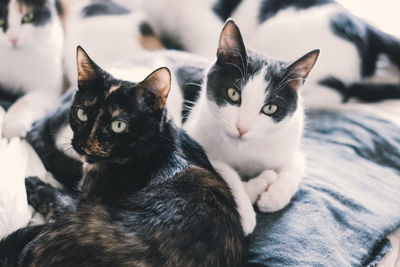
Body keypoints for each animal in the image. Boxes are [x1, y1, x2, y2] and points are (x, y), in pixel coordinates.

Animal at [0, 0, 63, 139]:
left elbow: (26, 101)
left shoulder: (49, 89)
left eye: (28, 16)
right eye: (0, 20)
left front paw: (14, 124)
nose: (13, 39)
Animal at [0, 47, 247, 266]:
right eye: (82, 113)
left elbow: (57, 196)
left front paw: (33, 183)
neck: (157, 145)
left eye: (118, 125)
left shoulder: (78, 205)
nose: (83, 144)